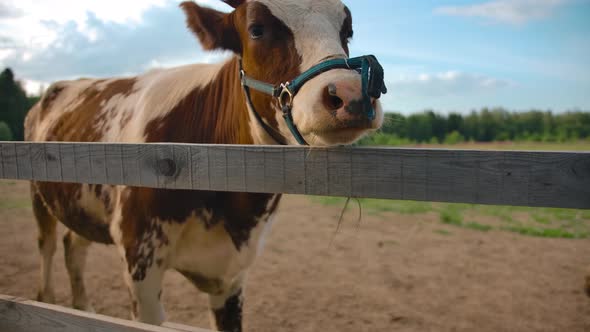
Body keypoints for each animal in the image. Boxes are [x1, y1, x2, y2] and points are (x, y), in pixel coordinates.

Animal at [24, 1, 388, 330]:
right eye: (257, 29)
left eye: (347, 30)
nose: (351, 92)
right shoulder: (139, 260)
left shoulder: (233, 274)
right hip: (38, 194)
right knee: (47, 245)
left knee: (74, 246)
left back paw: (83, 308)